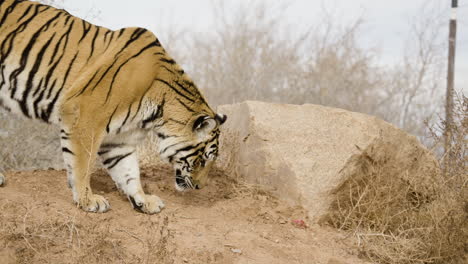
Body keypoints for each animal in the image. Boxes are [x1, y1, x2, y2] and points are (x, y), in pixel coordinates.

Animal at [0, 0, 227, 214]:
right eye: (203, 159)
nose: (199, 187)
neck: (156, 114)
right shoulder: (84, 115)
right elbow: (82, 164)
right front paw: (88, 200)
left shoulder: (120, 139)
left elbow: (129, 172)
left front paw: (143, 201)